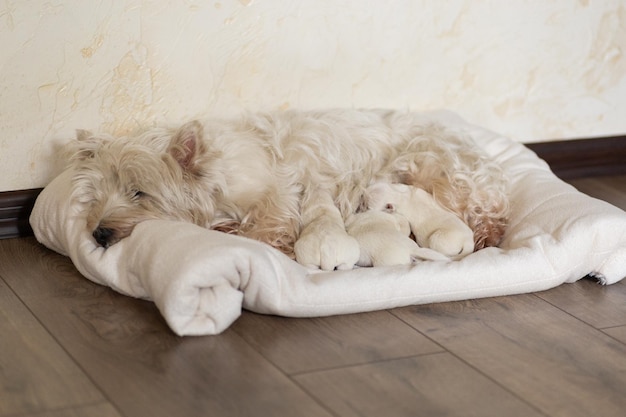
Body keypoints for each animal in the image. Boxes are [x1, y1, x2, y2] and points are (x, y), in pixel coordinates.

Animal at [67, 108, 508, 270]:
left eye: (139, 193)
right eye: (98, 195)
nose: (99, 233)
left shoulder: (277, 191)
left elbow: (265, 225)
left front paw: (262, 241)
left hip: (437, 170)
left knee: (483, 205)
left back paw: (488, 235)